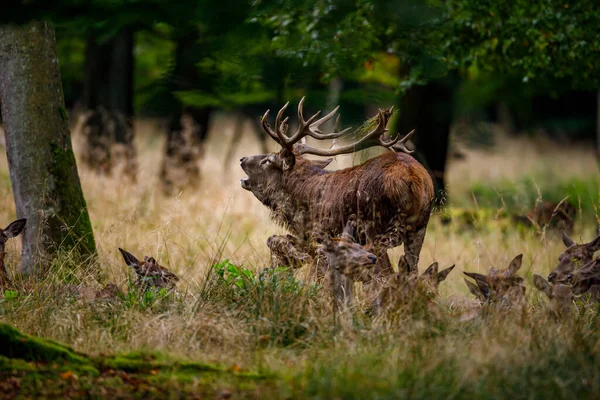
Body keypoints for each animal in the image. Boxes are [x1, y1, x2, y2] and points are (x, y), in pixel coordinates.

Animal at [241, 96, 434, 282]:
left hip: (375, 226)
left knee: (385, 274)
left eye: (267, 160)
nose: (242, 159)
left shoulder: (322, 233)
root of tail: (414, 178)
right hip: (419, 228)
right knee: (412, 272)